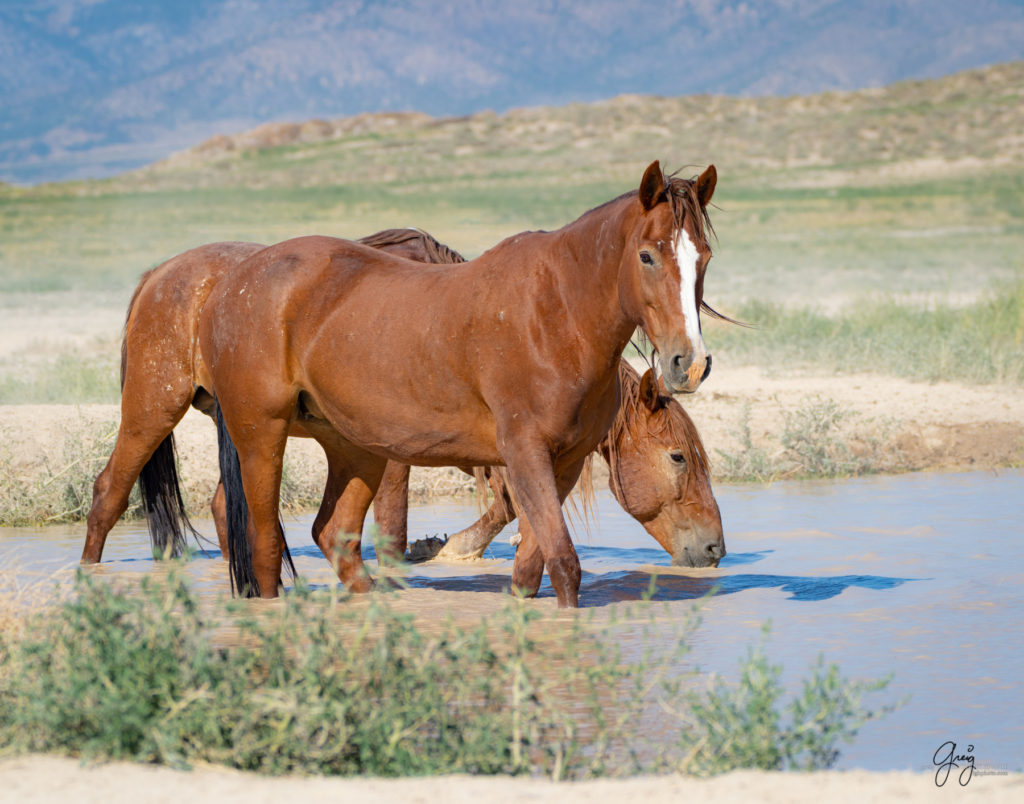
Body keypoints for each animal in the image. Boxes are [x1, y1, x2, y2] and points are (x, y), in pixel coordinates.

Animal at [205, 159, 720, 606]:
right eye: (647, 256)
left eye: (705, 258)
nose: (689, 363)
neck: (556, 319)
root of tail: (237, 281)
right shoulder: (524, 453)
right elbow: (563, 565)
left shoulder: (565, 463)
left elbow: (530, 569)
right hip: (262, 436)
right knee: (263, 546)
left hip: (353, 447)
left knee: (333, 535)